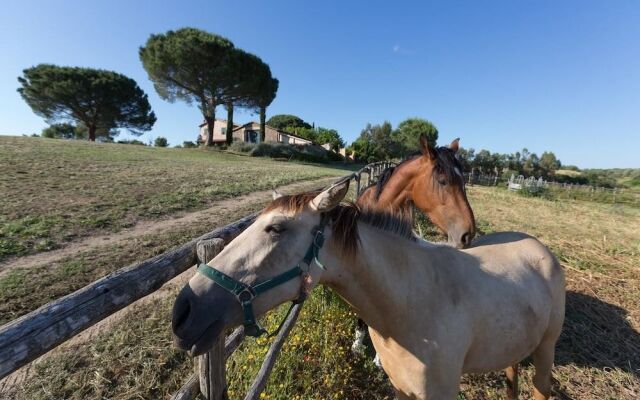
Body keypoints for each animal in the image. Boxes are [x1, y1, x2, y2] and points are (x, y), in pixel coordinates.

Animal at [171, 181, 564, 400]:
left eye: (276, 229)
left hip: (546, 351)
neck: (411, 305)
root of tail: (540, 248)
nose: (183, 312)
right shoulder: (402, 389)